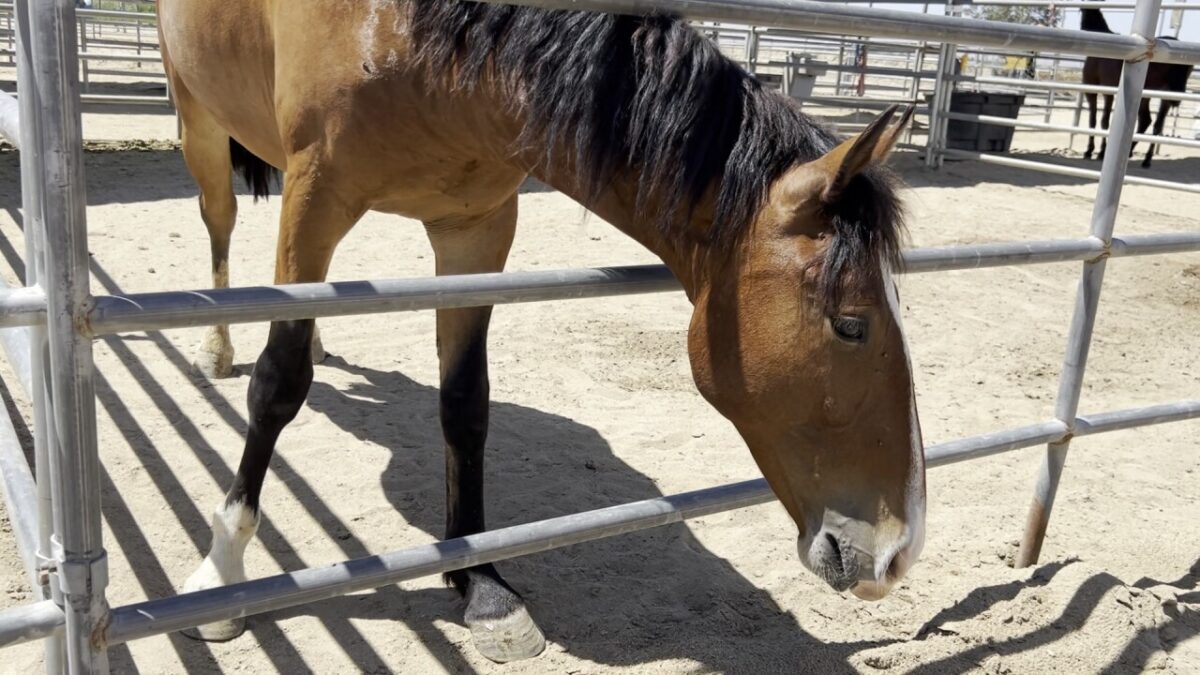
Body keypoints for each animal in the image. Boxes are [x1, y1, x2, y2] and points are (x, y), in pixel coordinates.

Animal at [158, 0, 926, 662]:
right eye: (851, 325)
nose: (898, 554)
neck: (431, 38)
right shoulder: (315, 197)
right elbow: (278, 384)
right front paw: (221, 569)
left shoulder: (477, 230)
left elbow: (464, 403)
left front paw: (481, 583)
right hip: (200, 124)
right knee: (220, 222)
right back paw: (217, 344)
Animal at [1079, 7, 1194, 168]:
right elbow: (1096, 121)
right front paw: (1096, 151)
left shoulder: (1096, 90)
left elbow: (1099, 121)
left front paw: (1095, 151)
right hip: (1158, 95)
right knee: (1154, 123)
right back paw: (1144, 158)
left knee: (1148, 121)